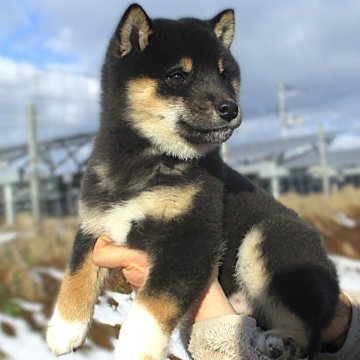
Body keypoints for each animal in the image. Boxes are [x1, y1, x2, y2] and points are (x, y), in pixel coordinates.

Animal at [46, 3, 338, 360]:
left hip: (269, 238)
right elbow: (76, 273)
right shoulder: (95, 224)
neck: (147, 159)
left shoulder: (191, 236)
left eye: (224, 74)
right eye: (178, 76)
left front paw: (134, 348)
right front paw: (64, 328)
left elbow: (151, 306)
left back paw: (281, 342)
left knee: (306, 328)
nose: (231, 108)